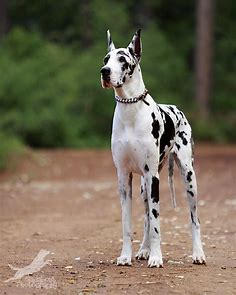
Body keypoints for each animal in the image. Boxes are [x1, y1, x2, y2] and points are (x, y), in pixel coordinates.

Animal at [100, 30, 206, 268]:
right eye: (106, 60)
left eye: (122, 60)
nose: (104, 72)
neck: (130, 109)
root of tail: (176, 108)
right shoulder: (124, 177)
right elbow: (128, 224)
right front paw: (126, 256)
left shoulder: (153, 177)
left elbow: (157, 222)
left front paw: (157, 257)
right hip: (143, 188)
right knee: (147, 218)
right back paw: (143, 250)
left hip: (189, 179)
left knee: (193, 219)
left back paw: (198, 253)